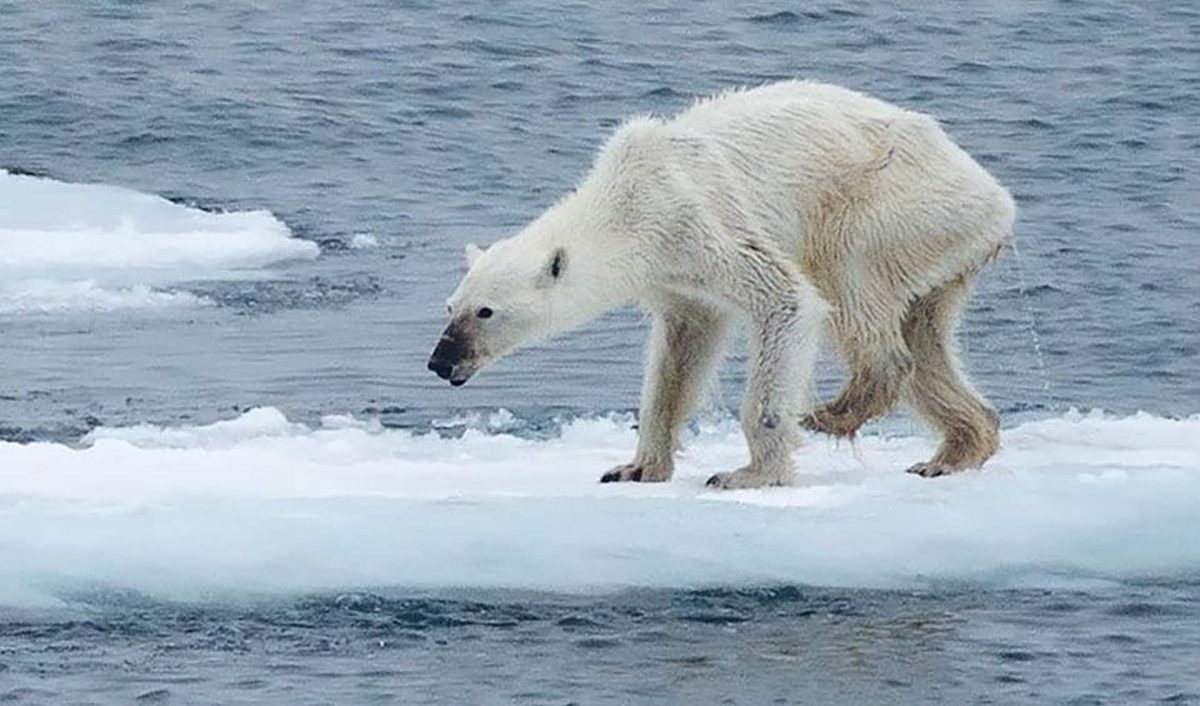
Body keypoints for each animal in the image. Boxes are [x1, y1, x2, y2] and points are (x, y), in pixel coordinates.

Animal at [428, 80, 1013, 489]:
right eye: (451, 306)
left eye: (485, 312)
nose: (439, 361)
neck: (626, 202)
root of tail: (997, 198)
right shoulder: (673, 275)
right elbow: (681, 352)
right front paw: (634, 467)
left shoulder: (697, 220)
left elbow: (787, 300)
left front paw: (747, 473)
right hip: (940, 249)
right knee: (925, 336)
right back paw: (953, 451)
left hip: (893, 205)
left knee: (851, 281)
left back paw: (835, 411)